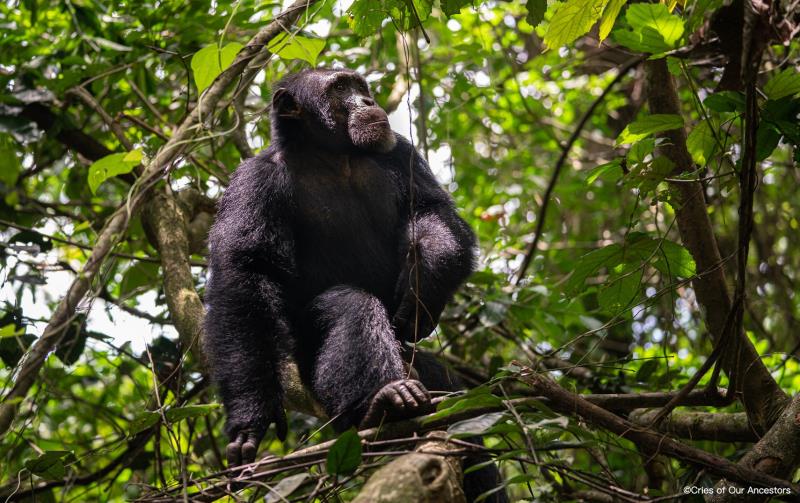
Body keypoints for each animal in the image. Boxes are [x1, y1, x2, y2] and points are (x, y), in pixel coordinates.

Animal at [205, 69, 506, 502]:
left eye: (358, 86)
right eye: (339, 89)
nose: (367, 101)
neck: (332, 155)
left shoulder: (401, 152)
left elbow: (430, 210)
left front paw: (423, 286)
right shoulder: (251, 183)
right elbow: (245, 273)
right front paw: (249, 421)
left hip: (417, 364)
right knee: (348, 308)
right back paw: (384, 401)